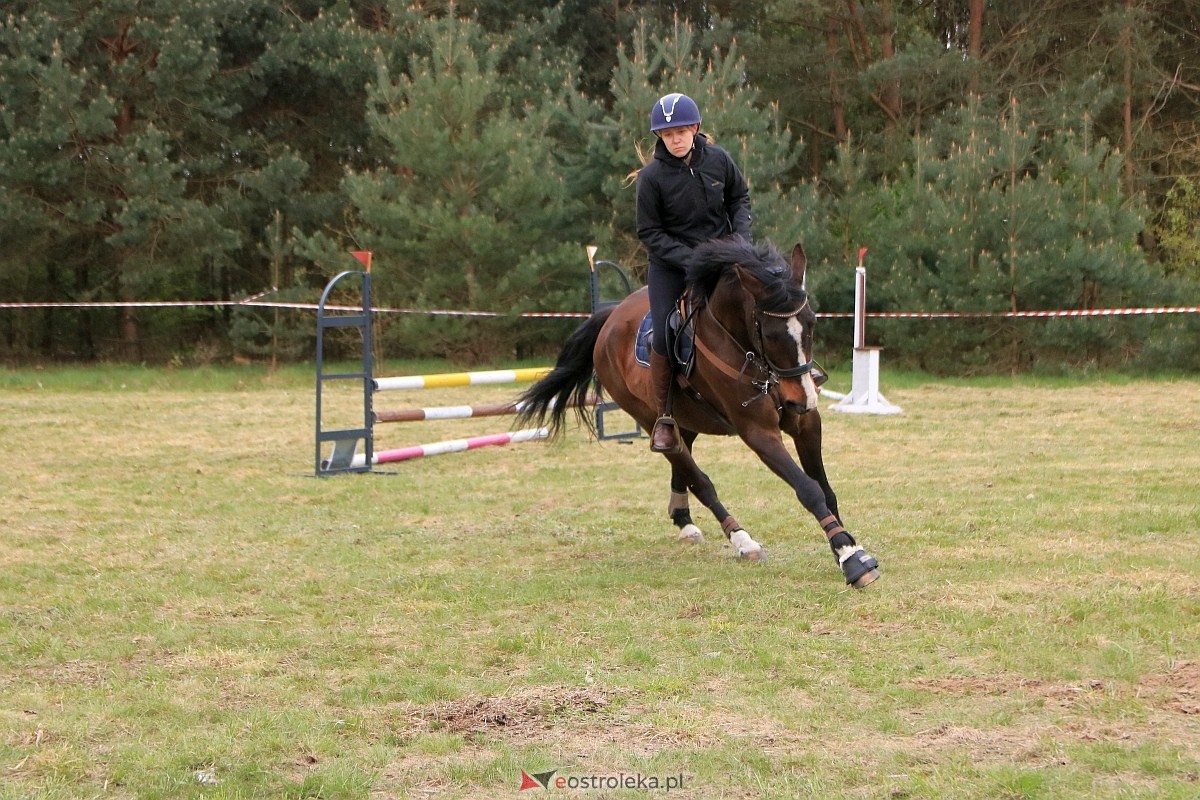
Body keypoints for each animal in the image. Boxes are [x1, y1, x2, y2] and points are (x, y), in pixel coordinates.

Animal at [518, 237, 883, 587]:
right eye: (769, 332)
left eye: (811, 323)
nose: (801, 398)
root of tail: (611, 317)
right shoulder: (758, 432)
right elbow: (808, 489)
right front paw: (850, 557)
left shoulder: (806, 423)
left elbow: (825, 489)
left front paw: (846, 544)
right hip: (649, 418)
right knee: (699, 480)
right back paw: (742, 540)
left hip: (685, 421)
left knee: (684, 466)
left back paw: (683, 519)